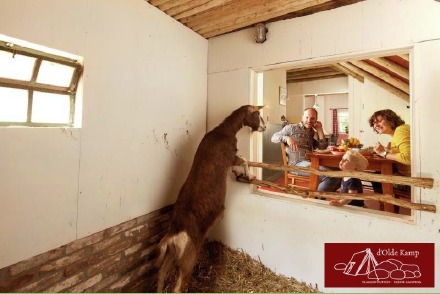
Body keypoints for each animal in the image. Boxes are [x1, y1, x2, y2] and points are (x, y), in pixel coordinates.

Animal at [155, 105, 264, 292]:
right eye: (257, 114)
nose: (263, 127)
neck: (224, 131)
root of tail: (174, 234)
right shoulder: (231, 156)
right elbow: (243, 160)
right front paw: (249, 175)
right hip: (188, 259)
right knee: (178, 286)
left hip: (170, 253)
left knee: (161, 273)